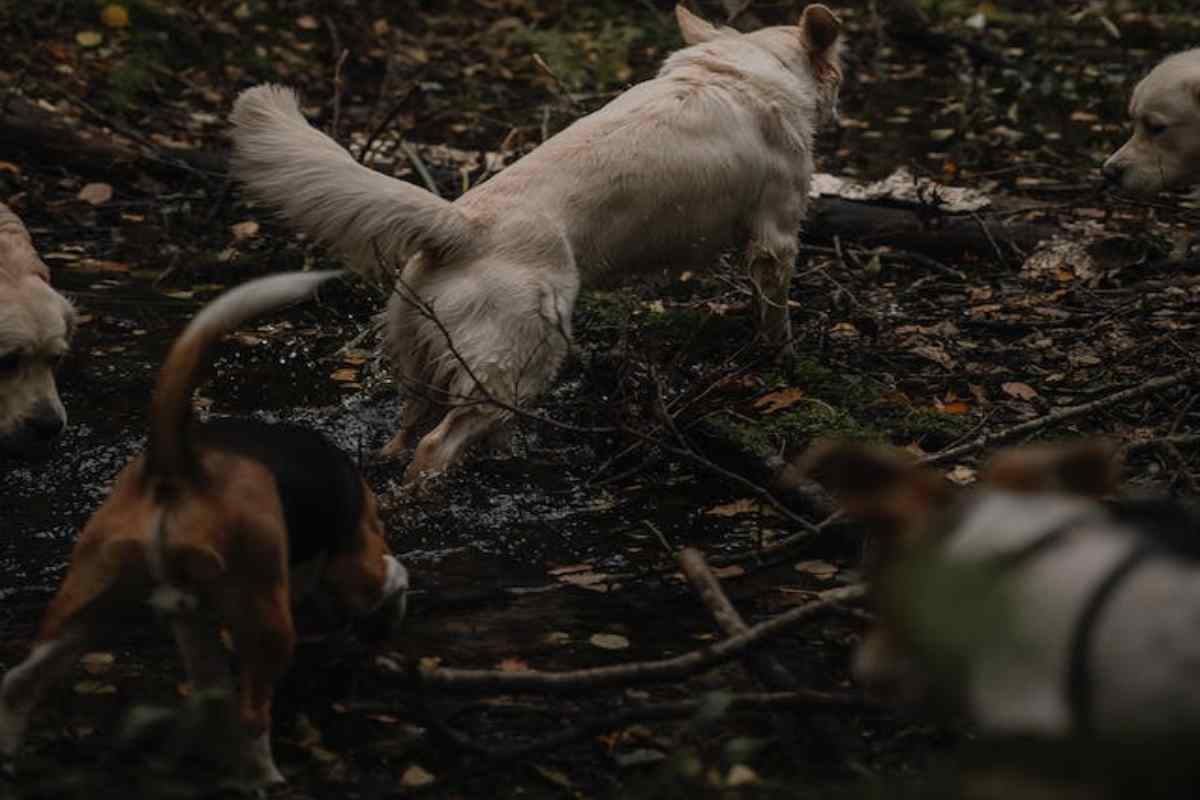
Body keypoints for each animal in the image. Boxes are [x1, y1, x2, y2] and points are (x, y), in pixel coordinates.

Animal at [0, 271, 408, 786]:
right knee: (253, 715)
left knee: (18, 682)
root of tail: (179, 465)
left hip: (92, 599)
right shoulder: (355, 566)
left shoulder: (194, 624)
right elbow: (396, 573)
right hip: (265, 618)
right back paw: (267, 780)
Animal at [226, 3, 844, 482]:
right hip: (520, 358)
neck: (747, 65)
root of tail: (461, 223)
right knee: (434, 446)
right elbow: (775, 315)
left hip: (423, 358)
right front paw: (785, 363)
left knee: (407, 432)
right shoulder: (776, 236)